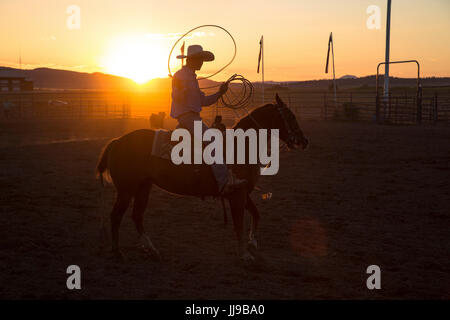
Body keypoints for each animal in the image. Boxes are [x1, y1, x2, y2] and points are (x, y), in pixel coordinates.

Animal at [96, 93, 308, 262]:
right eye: (290, 116)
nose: (303, 141)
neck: (241, 145)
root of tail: (117, 141)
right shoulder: (236, 196)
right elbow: (238, 223)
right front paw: (244, 254)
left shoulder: (242, 193)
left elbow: (256, 214)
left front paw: (252, 242)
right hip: (126, 190)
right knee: (116, 215)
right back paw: (117, 251)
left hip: (143, 187)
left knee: (137, 215)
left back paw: (151, 249)